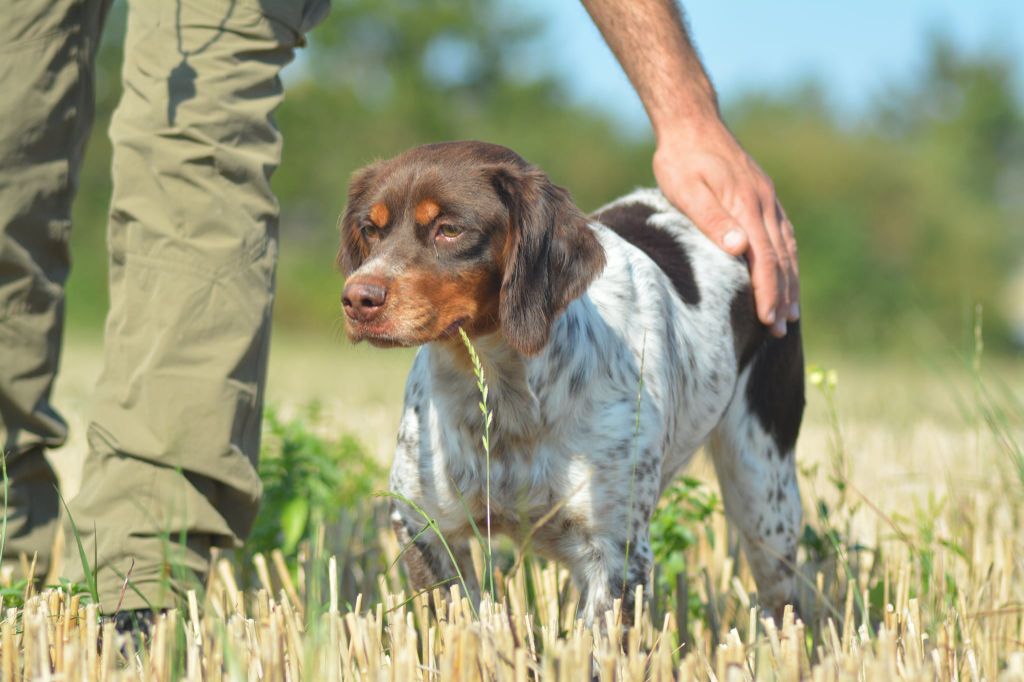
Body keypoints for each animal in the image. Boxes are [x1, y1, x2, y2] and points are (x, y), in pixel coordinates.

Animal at [339, 139, 802, 622]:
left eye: (449, 229)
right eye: (370, 229)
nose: (357, 298)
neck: (504, 395)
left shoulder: (615, 553)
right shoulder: (423, 526)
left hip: (765, 499)